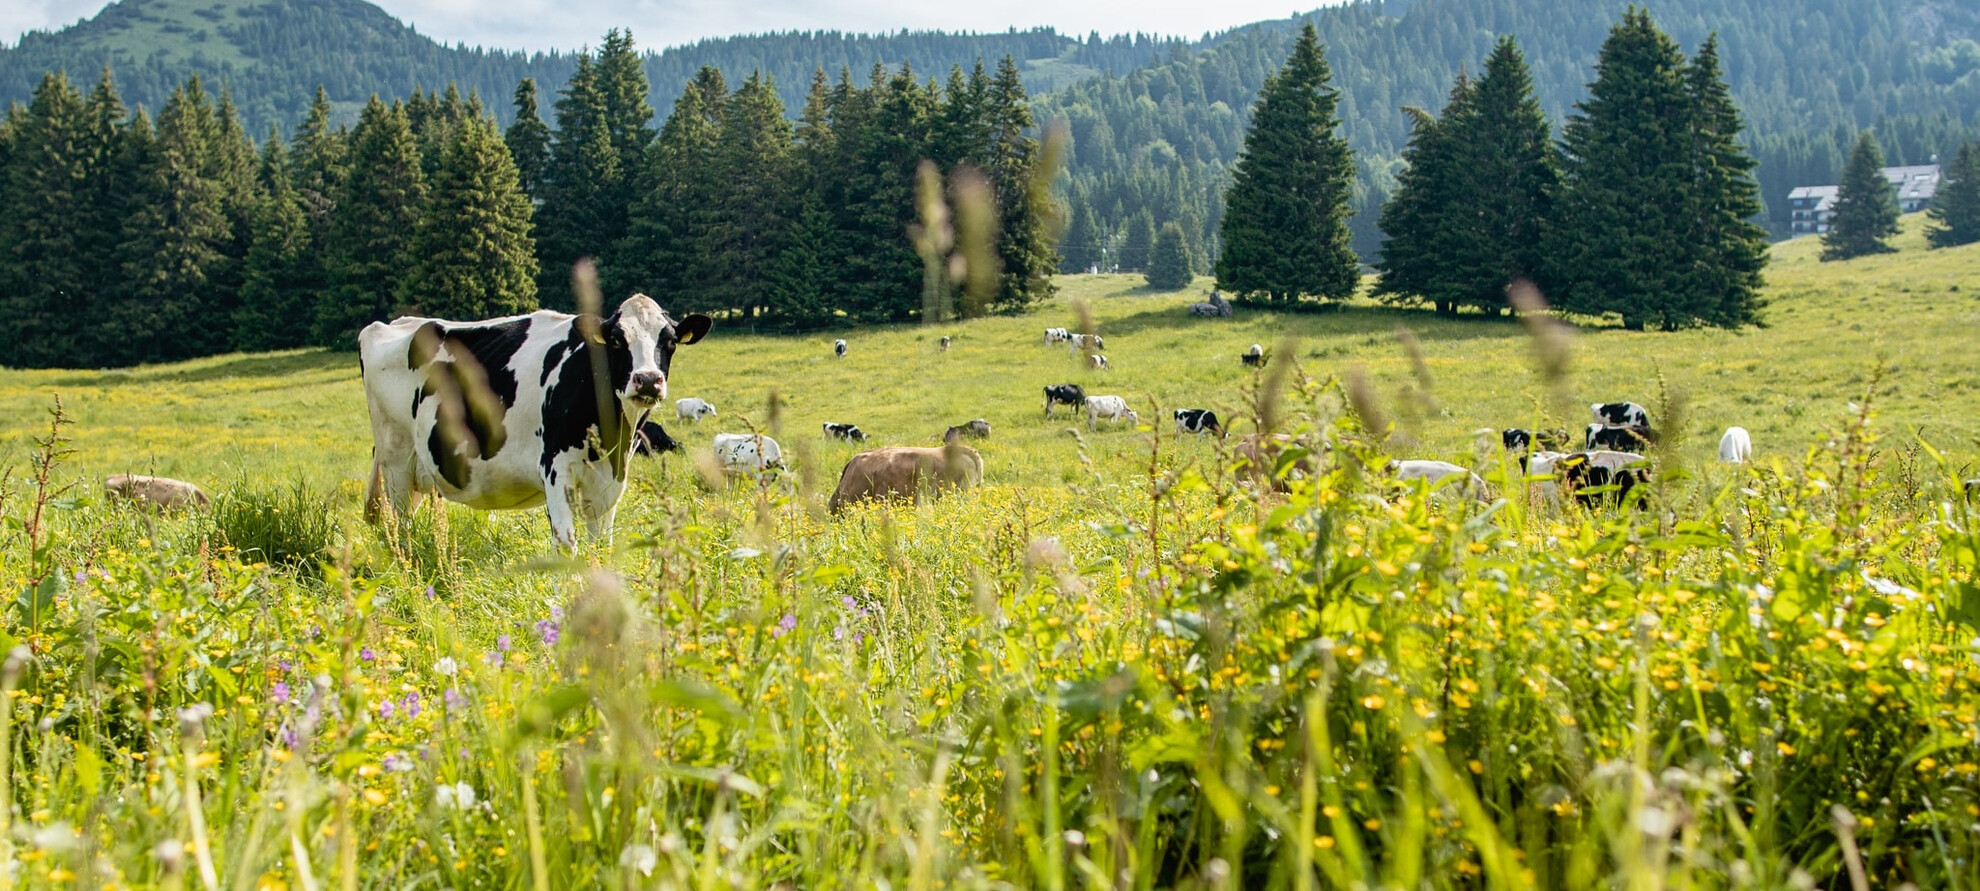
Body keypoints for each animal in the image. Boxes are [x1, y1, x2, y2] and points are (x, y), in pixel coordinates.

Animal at [358, 294, 712, 550]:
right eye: (616, 340)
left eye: (670, 341)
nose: (648, 380)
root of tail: (395, 323)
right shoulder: (556, 469)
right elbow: (567, 545)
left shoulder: (610, 482)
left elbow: (602, 545)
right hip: (396, 463)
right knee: (398, 526)